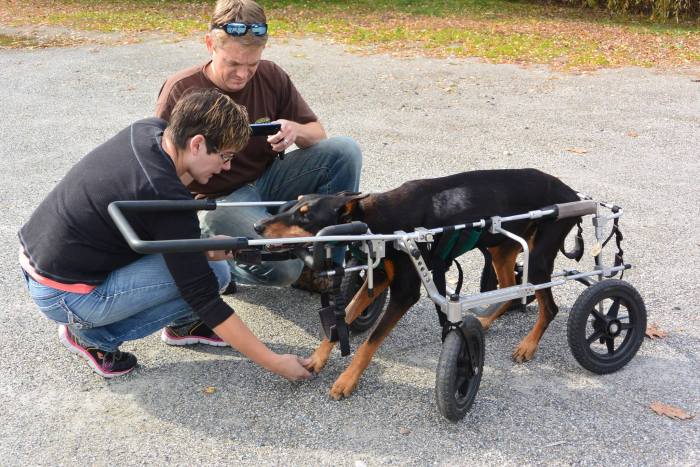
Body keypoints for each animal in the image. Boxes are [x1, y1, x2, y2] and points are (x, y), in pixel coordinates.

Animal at [256, 170, 580, 400]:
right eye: (292, 205)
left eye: (305, 215)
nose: (258, 226)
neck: (376, 220)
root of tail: (569, 190)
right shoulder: (379, 279)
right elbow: (343, 318)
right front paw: (317, 358)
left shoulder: (404, 293)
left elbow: (369, 344)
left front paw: (347, 380)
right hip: (501, 250)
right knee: (512, 290)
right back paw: (487, 319)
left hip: (538, 260)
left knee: (548, 306)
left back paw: (528, 345)